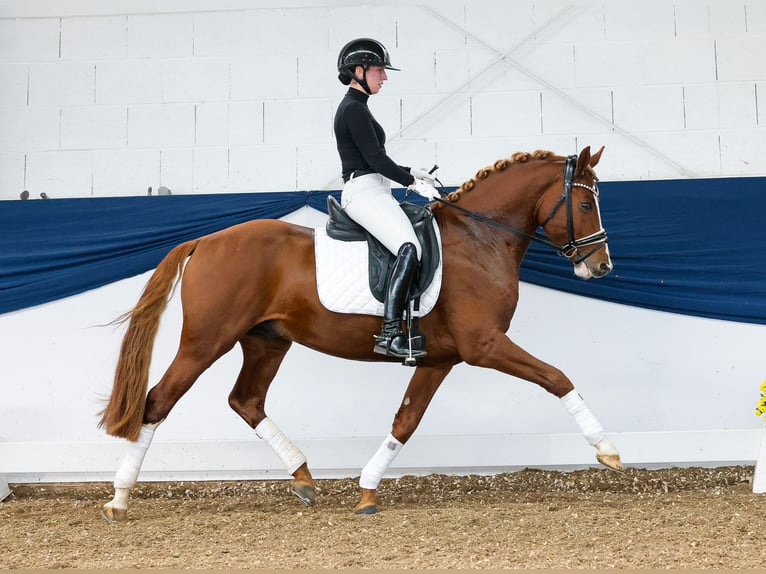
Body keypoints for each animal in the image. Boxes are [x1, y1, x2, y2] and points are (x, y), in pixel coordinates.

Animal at [97, 146, 624, 524]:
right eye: (584, 202)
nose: (601, 268)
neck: (480, 238)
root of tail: (205, 240)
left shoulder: (440, 359)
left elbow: (405, 422)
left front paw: (368, 490)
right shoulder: (485, 345)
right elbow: (557, 377)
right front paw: (607, 450)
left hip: (267, 340)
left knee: (246, 400)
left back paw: (304, 477)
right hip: (206, 342)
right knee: (158, 401)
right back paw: (120, 500)